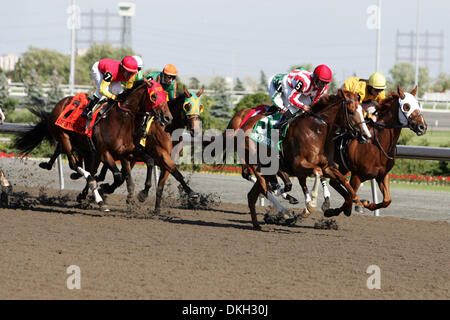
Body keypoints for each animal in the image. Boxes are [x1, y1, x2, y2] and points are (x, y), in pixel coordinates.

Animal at [13, 79, 172, 211]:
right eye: (154, 96)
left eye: (165, 96)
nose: (167, 117)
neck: (121, 121)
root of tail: (59, 104)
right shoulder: (104, 153)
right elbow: (118, 176)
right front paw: (105, 189)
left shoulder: (128, 152)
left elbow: (147, 163)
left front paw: (142, 194)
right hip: (65, 138)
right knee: (76, 164)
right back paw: (95, 195)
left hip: (83, 147)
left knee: (80, 165)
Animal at [230, 90, 370, 229]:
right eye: (351, 111)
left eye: (362, 111)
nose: (366, 136)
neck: (316, 132)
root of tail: (244, 125)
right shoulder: (298, 165)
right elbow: (317, 172)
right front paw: (310, 205)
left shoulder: (327, 167)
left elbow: (343, 180)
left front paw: (358, 201)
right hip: (257, 165)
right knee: (265, 189)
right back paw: (285, 213)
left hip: (267, 169)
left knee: (252, 195)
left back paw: (256, 224)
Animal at [326, 86, 426, 214]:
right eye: (406, 106)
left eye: (418, 104)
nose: (422, 126)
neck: (377, 146)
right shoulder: (357, 176)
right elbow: (350, 197)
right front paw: (331, 211)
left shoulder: (383, 175)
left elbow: (387, 200)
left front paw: (365, 203)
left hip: (343, 165)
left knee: (334, 182)